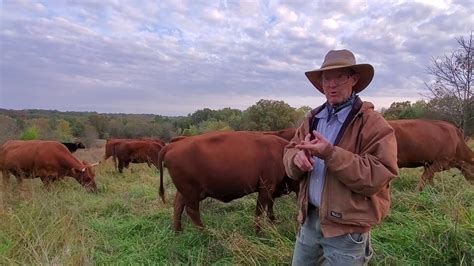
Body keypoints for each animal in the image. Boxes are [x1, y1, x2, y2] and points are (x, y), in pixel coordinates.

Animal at [159, 130, 300, 233]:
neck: (282, 154)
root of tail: (172, 145)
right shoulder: (266, 187)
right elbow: (260, 210)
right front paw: (259, 232)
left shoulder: (271, 188)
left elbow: (269, 205)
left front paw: (273, 221)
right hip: (190, 192)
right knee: (192, 211)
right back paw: (204, 233)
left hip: (184, 191)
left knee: (178, 206)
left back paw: (178, 231)